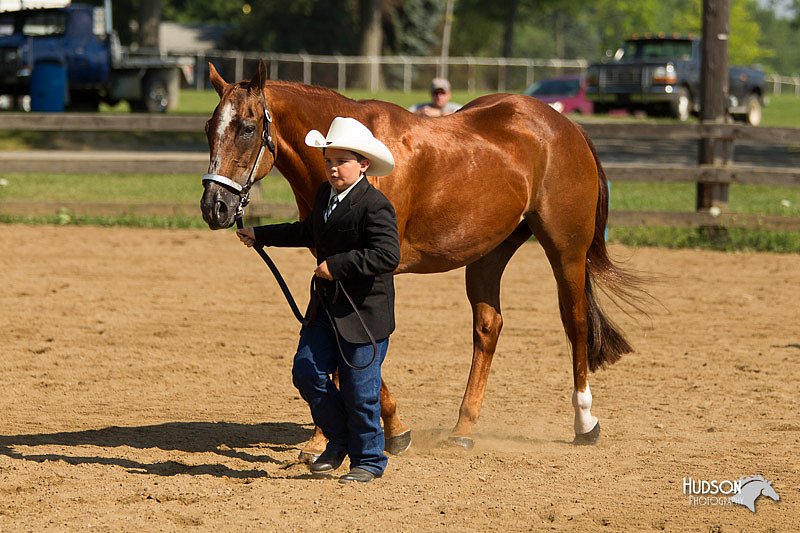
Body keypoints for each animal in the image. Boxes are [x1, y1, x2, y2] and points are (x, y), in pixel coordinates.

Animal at [203, 63, 648, 458]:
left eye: (246, 128)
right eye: (209, 128)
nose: (214, 206)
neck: (354, 156)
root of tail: (566, 126)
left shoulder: (369, 267)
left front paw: (396, 431)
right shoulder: (331, 265)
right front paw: (322, 440)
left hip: (566, 250)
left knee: (575, 324)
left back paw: (585, 423)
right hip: (489, 253)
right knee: (488, 327)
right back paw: (463, 430)